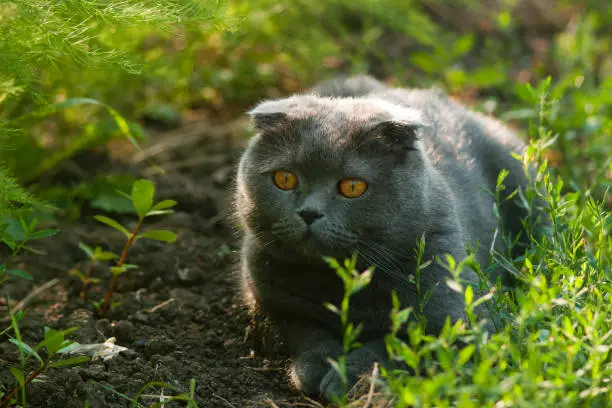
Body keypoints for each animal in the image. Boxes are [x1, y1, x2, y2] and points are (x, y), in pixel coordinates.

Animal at [233, 75, 544, 400]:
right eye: (285, 178)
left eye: (352, 187)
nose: (309, 213)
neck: (341, 284)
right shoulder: (267, 297)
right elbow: (304, 330)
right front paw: (317, 365)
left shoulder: (459, 321)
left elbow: (396, 344)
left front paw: (349, 378)